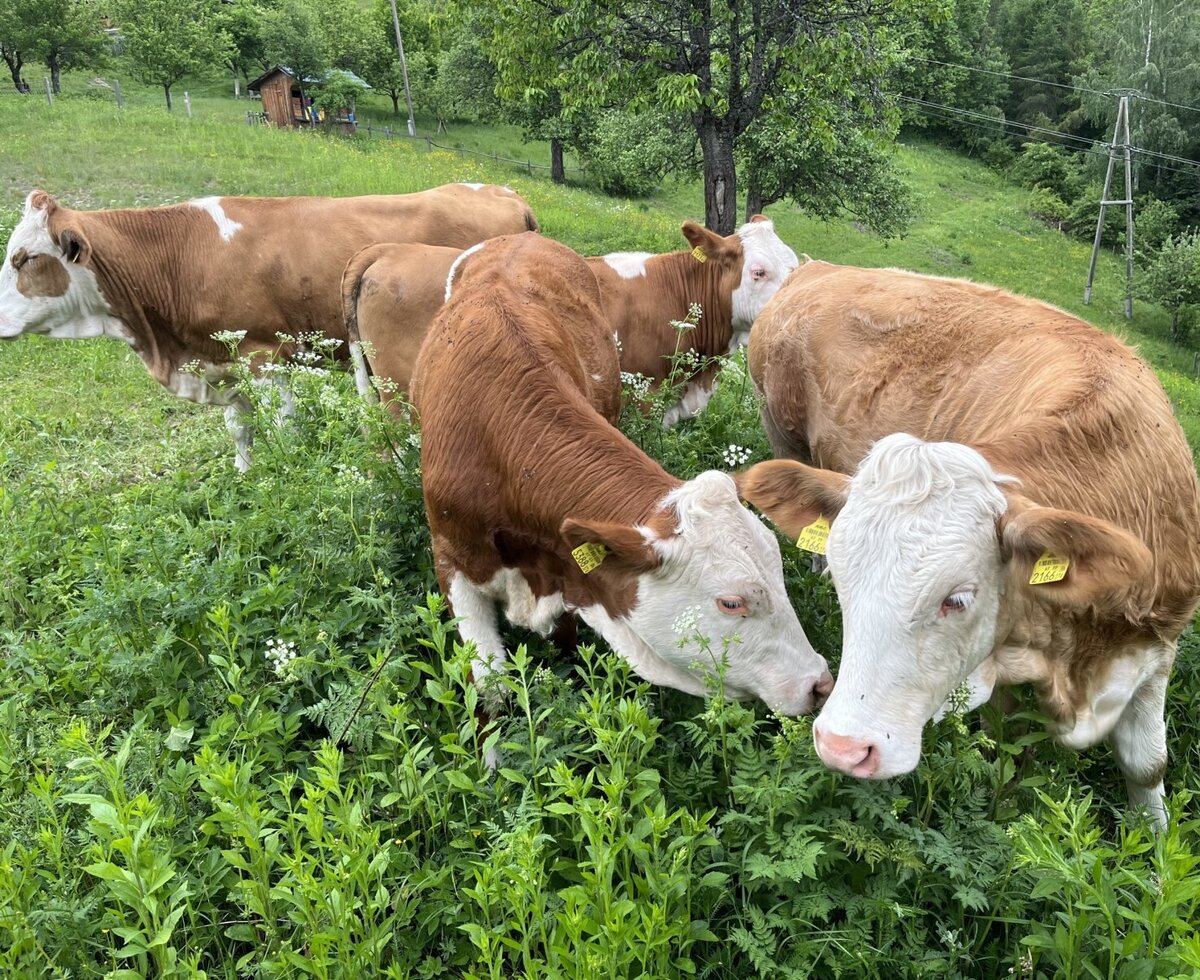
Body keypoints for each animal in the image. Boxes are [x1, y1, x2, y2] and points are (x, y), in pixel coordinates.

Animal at [0, 183, 538, 470]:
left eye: (23, 258)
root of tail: (502, 192)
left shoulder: (264, 356)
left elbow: (284, 427)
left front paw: (285, 475)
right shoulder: (224, 364)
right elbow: (240, 429)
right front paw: (245, 474)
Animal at [410, 232, 832, 732]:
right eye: (731, 603)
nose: (820, 683)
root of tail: (521, 236)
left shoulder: (567, 572)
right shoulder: (452, 561)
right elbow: (488, 696)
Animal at [736, 260, 1200, 829]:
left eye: (957, 599)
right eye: (848, 589)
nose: (843, 746)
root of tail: (820, 267)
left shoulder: (1157, 646)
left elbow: (1146, 766)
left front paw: (1153, 849)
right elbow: (1009, 766)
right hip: (782, 432)